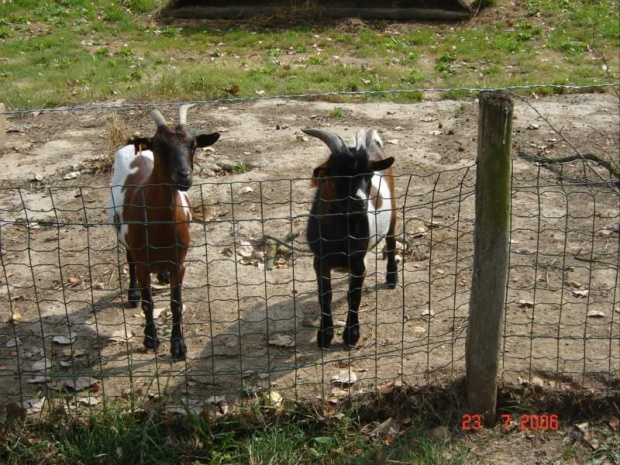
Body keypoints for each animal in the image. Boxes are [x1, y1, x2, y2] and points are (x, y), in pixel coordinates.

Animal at [109, 105, 220, 358]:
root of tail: (132, 146)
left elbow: (176, 303)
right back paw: (132, 294)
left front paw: (178, 345)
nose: (184, 175)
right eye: (159, 145)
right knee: (128, 260)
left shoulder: (179, 262)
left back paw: (161, 276)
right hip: (121, 231)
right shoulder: (142, 260)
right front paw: (150, 338)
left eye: (193, 145)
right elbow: (148, 303)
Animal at [304, 128, 398, 348]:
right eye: (338, 173)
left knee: (391, 242)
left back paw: (392, 277)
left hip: (394, 214)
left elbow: (353, 296)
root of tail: (375, 144)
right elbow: (325, 296)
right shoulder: (319, 260)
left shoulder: (357, 261)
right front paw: (325, 335)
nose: (359, 202)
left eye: (369, 175)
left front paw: (351, 335)